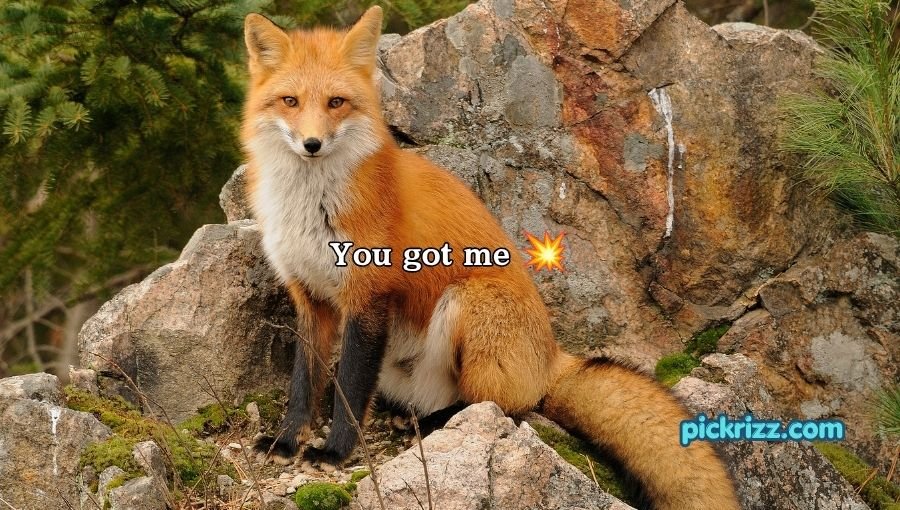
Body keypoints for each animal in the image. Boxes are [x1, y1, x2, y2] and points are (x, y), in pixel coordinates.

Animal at [240, 6, 740, 510]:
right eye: (290, 101)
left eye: (336, 103)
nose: (312, 144)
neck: (311, 205)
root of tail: (551, 356)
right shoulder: (310, 297)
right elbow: (303, 383)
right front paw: (287, 441)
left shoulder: (368, 295)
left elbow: (350, 387)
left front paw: (336, 452)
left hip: (469, 302)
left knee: (500, 406)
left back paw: (440, 423)